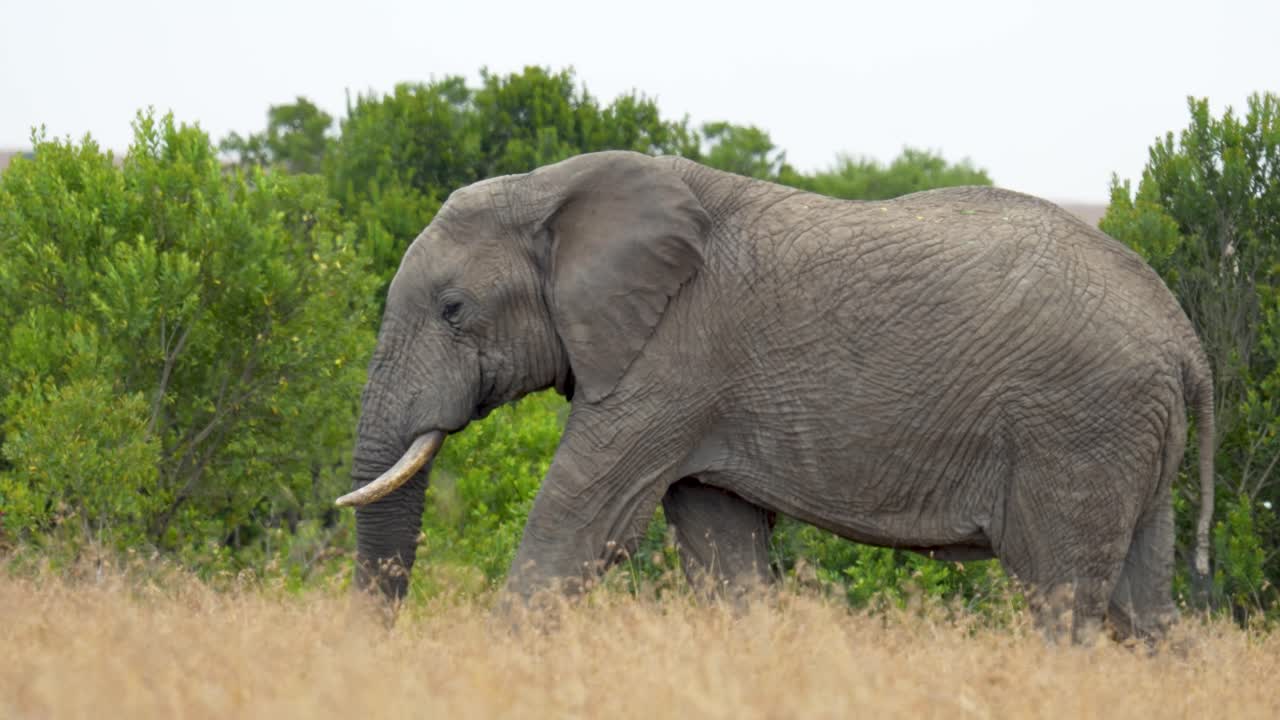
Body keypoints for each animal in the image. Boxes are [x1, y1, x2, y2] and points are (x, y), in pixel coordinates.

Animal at [337, 150, 1215, 645]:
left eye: (454, 310)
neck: (549, 188)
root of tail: (1187, 341)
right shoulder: (695, 391)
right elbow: (723, 554)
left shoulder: (671, 361)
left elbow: (580, 530)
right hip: (1128, 438)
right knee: (1146, 611)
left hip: (1077, 432)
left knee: (1062, 604)